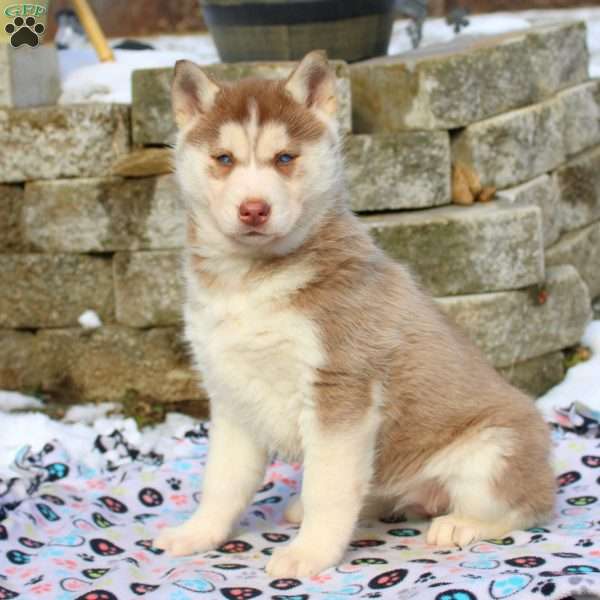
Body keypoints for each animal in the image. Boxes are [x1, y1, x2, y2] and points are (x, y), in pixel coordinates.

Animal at [154, 50, 552, 576]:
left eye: (285, 158)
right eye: (224, 159)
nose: (254, 209)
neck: (251, 280)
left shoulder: (340, 391)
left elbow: (328, 488)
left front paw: (308, 553)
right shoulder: (232, 393)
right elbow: (222, 480)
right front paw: (199, 533)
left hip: (493, 452)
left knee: (521, 507)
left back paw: (459, 525)